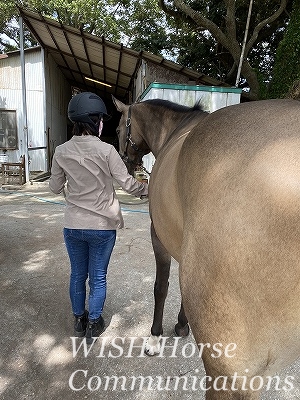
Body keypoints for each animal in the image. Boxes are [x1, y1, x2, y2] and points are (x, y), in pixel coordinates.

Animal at [112, 95, 300, 398]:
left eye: (118, 128)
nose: (128, 164)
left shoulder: (159, 236)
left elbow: (161, 287)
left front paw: (155, 337)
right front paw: (181, 325)